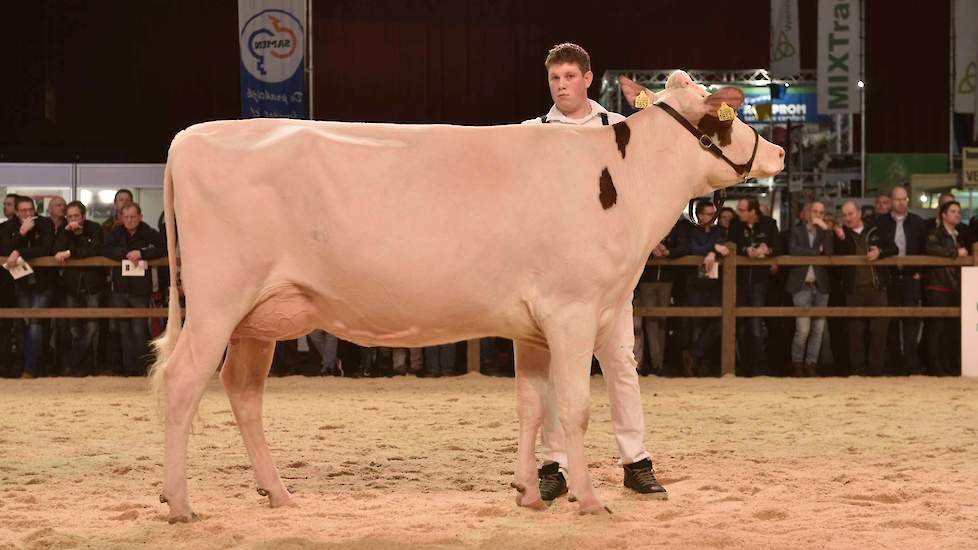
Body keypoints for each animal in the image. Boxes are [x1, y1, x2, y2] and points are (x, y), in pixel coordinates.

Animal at [151, 69, 776, 520]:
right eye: (728, 113)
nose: (778, 152)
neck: (622, 181)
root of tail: (191, 136)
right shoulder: (573, 311)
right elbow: (574, 408)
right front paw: (590, 501)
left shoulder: (536, 325)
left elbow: (533, 406)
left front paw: (530, 493)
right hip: (217, 301)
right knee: (181, 383)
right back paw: (180, 504)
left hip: (258, 316)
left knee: (242, 391)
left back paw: (278, 493)